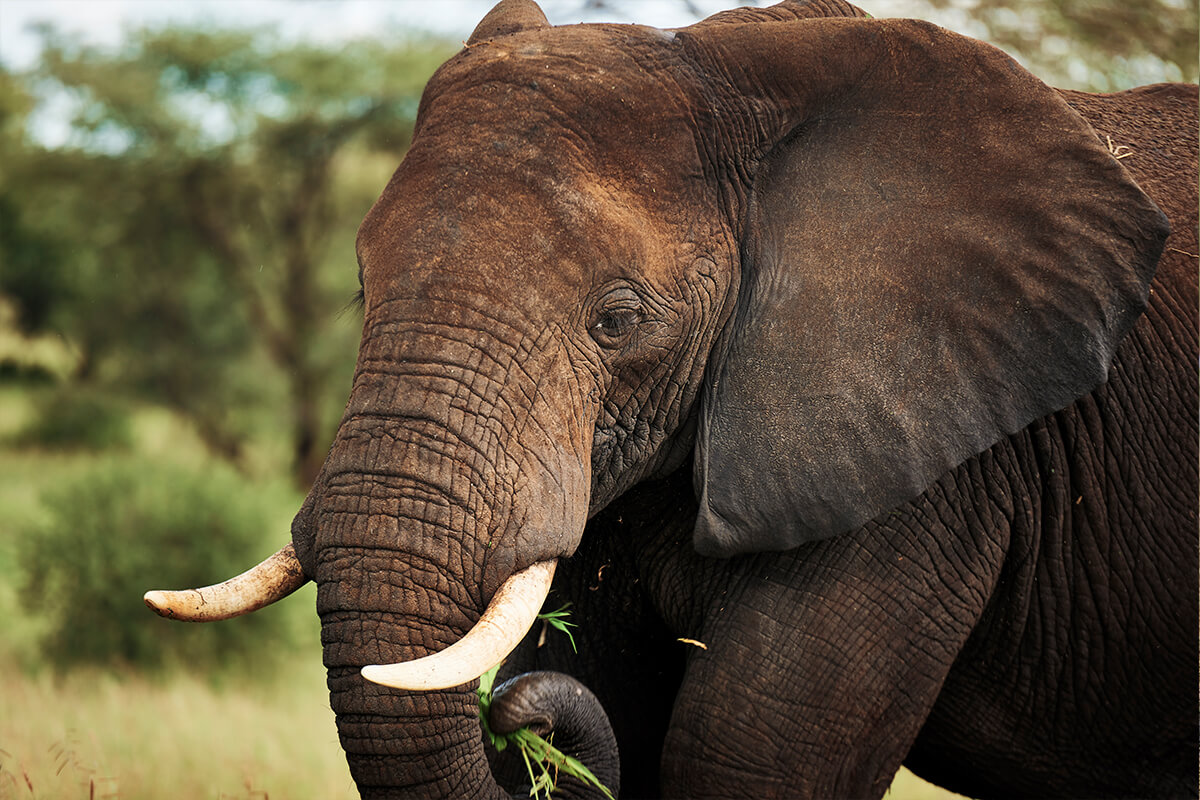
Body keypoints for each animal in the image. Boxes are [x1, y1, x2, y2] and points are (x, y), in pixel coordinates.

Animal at [145, 1, 1195, 800]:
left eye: (616, 319)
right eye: (363, 292)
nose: (515, 715)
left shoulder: (933, 467)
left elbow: (741, 766)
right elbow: (613, 701)